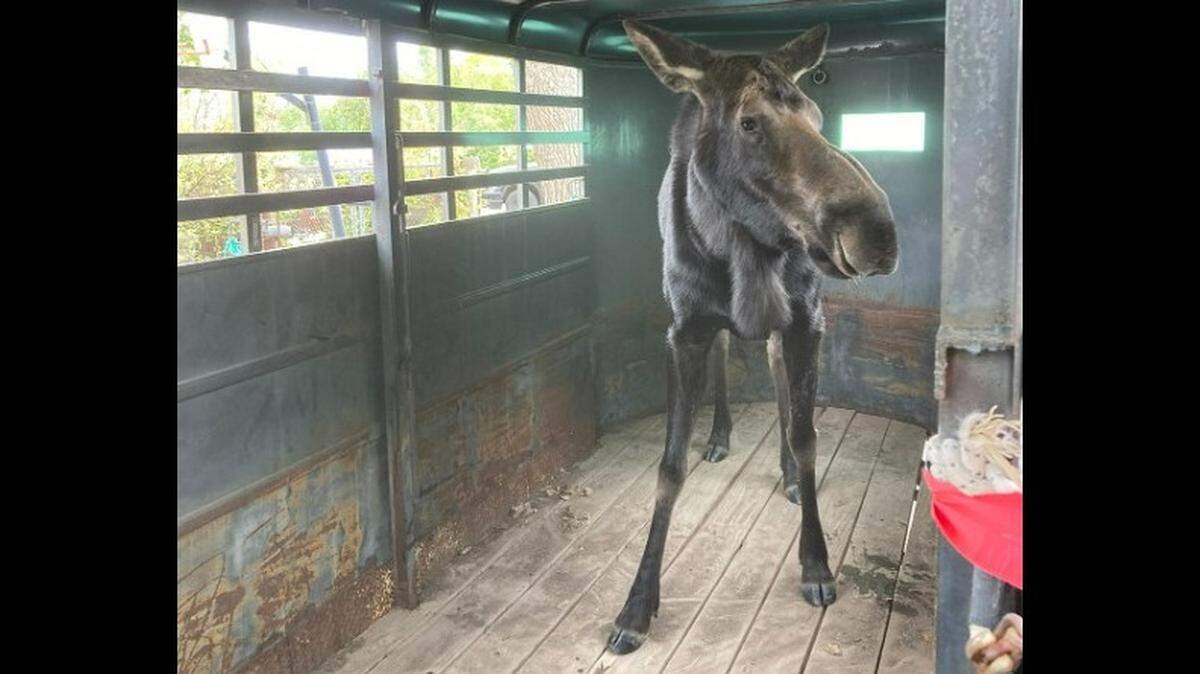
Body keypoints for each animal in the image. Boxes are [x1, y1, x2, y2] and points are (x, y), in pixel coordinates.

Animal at [607, 20, 900, 654]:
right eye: (749, 122)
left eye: (817, 115)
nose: (877, 233)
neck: (740, 251)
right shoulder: (683, 330)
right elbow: (669, 467)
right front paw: (636, 607)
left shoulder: (807, 319)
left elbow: (806, 434)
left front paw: (816, 564)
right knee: (728, 353)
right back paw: (719, 435)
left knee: (775, 376)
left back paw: (785, 472)